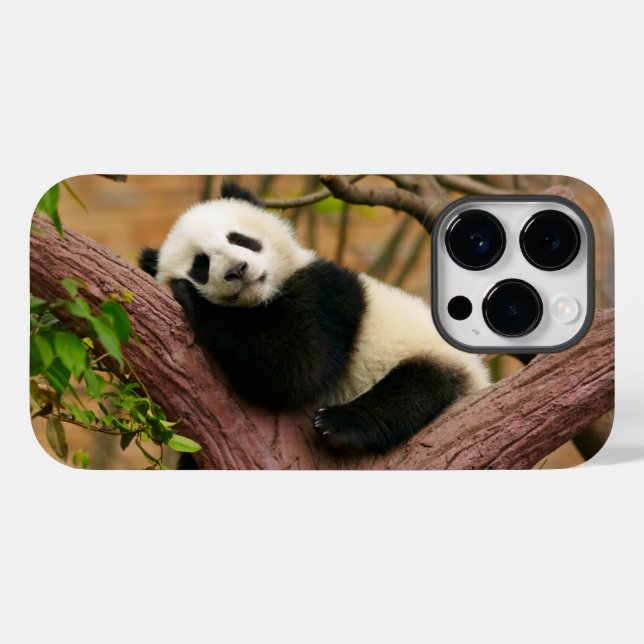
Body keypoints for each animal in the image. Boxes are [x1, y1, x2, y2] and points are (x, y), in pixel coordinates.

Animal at [139, 181, 490, 455]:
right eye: (201, 264)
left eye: (238, 239)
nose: (238, 270)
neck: (264, 297)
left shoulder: (327, 296)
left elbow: (297, 366)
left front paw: (191, 298)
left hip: (432, 355)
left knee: (414, 389)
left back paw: (339, 425)